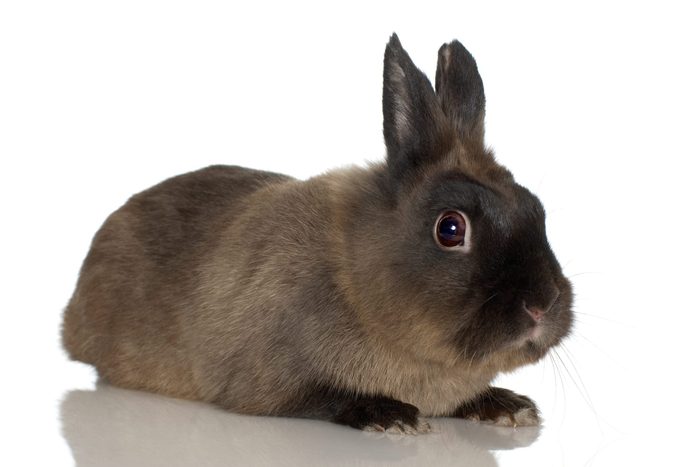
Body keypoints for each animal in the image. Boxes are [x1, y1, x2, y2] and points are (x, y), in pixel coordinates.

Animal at [62, 33, 573, 434]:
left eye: (535, 207)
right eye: (450, 228)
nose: (541, 304)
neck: (354, 278)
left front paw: (509, 407)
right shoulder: (271, 384)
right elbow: (325, 397)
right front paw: (390, 416)